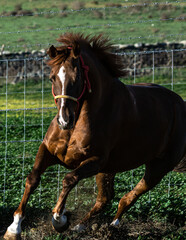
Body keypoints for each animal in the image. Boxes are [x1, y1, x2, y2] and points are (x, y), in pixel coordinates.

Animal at [3, 32, 185, 239]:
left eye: (77, 78)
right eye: (51, 78)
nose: (64, 120)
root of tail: (181, 104)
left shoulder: (95, 161)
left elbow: (69, 179)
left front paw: (60, 219)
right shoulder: (48, 150)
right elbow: (32, 179)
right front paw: (14, 228)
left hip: (158, 168)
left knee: (129, 197)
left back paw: (111, 225)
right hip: (110, 169)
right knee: (105, 199)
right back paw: (81, 227)